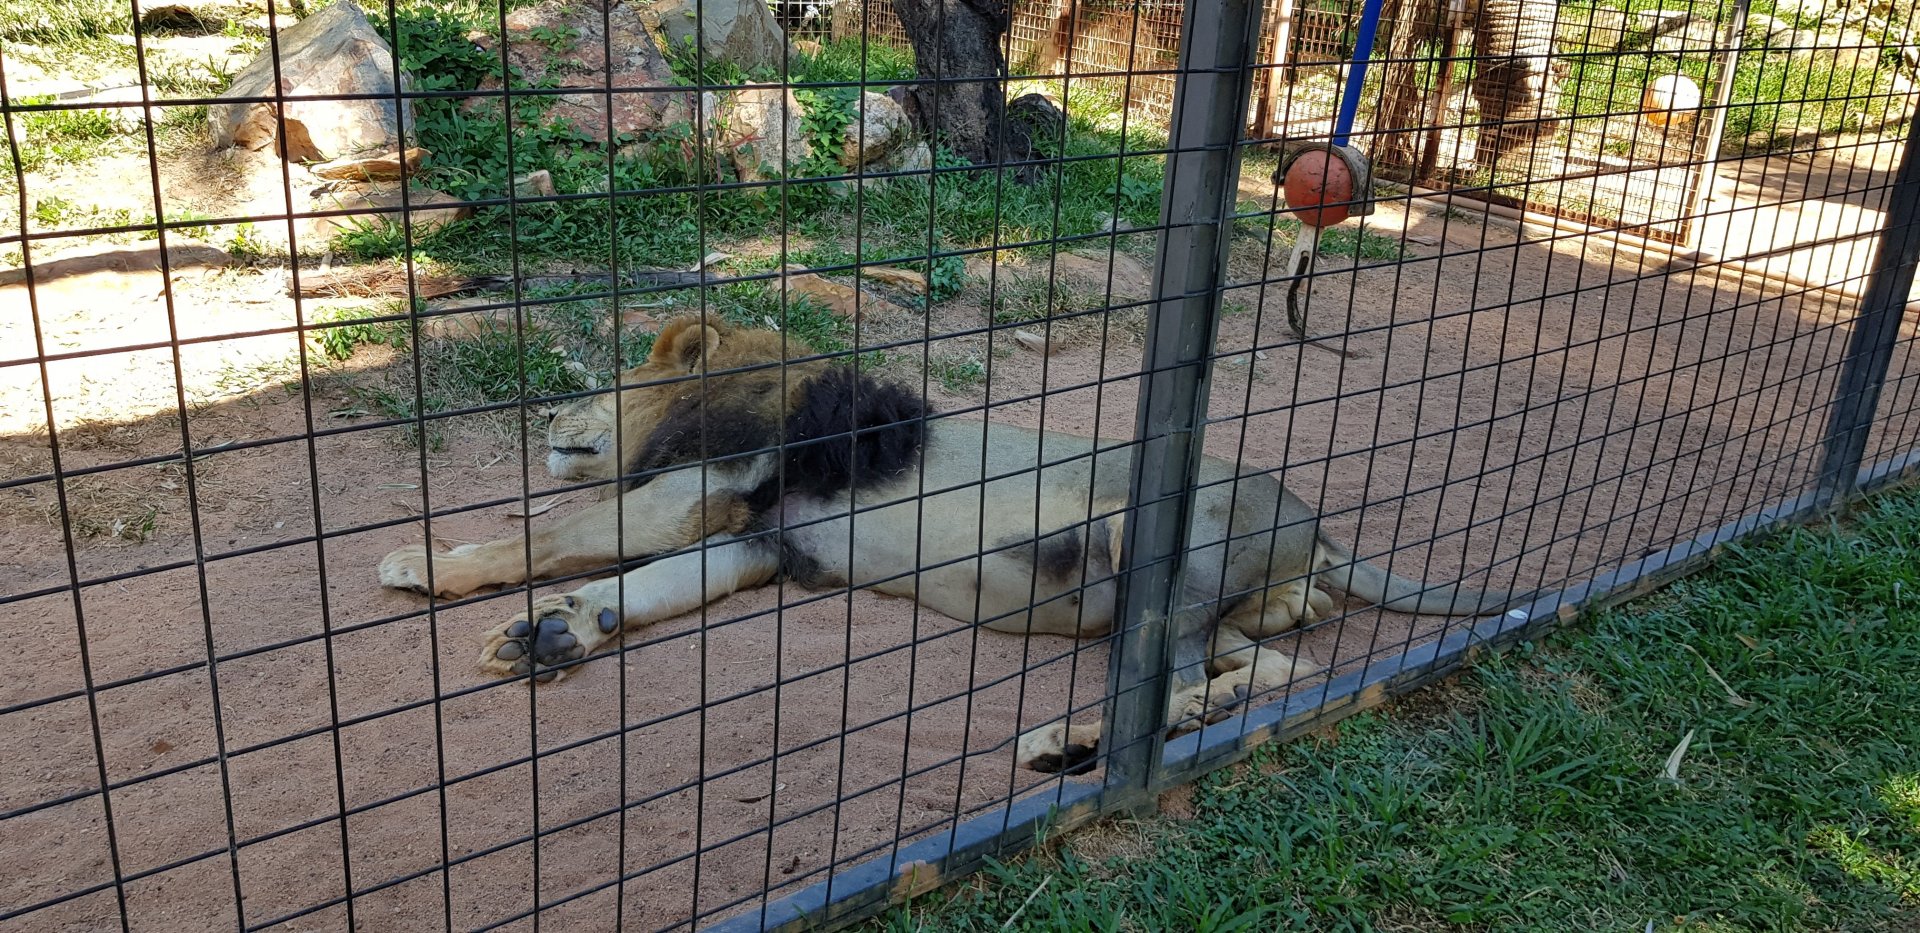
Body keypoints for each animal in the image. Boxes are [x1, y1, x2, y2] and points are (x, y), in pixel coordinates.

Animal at [379, 317, 1526, 774]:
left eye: (605, 383)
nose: (547, 419)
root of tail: (1317, 527)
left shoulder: (694, 496)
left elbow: (547, 534)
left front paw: (423, 563)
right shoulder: (754, 545)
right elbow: (643, 588)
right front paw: (555, 633)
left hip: (1158, 539)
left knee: (1172, 680)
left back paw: (1071, 743)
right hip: (1215, 605)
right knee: (1273, 664)